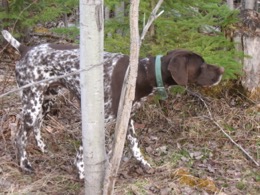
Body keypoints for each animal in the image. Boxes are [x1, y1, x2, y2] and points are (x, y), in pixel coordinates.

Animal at [1, 29, 224, 179]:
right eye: (202, 65)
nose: (222, 70)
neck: (142, 73)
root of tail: (25, 49)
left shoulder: (128, 117)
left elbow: (134, 145)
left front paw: (144, 164)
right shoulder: (101, 119)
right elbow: (82, 151)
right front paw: (81, 172)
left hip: (46, 99)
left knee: (37, 126)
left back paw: (42, 148)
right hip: (32, 103)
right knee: (20, 135)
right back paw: (25, 164)